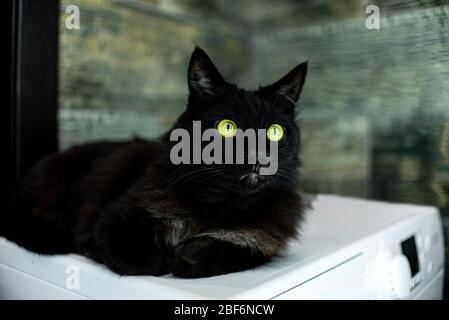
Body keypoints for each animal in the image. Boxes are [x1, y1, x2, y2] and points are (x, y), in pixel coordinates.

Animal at [4, 47, 308, 278]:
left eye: (275, 132)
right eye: (227, 127)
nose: (259, 157)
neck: (218, 204)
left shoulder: (261, 244)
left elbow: (224, 253)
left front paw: (183, 256)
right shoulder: (113, 217)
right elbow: (139, 259)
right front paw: (164, 260)